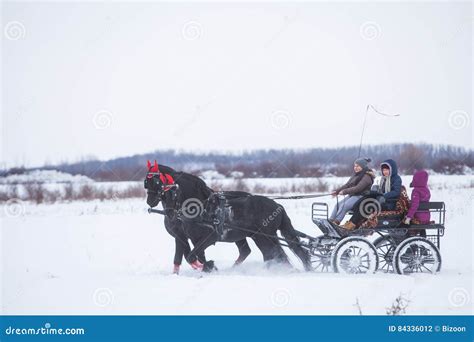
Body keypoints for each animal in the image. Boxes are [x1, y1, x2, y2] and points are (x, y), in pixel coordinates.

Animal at [144, 162, 312, 272]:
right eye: (146, 182)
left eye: (158, 183)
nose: (150, 201)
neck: (202, 207)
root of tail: (278, 206)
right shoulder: (184, 237)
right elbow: (186, 256)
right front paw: (206, 267)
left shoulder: (208, 238)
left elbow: (192, 255)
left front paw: (209, 266)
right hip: (259, 237)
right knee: (267, 255)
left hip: (265, 237)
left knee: (275, 255)